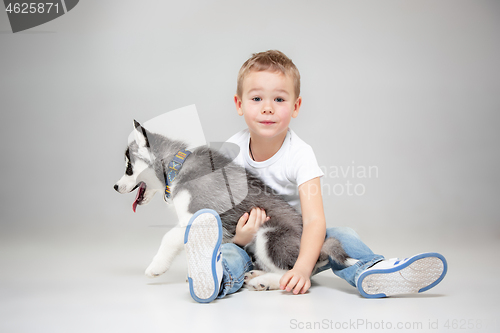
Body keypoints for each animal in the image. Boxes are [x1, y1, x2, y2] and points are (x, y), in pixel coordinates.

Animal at [114, 120, 352, 290]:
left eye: (128, 168)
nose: (115, 187)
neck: (177, 167)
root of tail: (321, 247)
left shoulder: (199, 216)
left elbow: (169, 237)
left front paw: (156, 267)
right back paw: (257, 275)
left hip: (269, 235)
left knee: (294, 275)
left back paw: (264, 281)